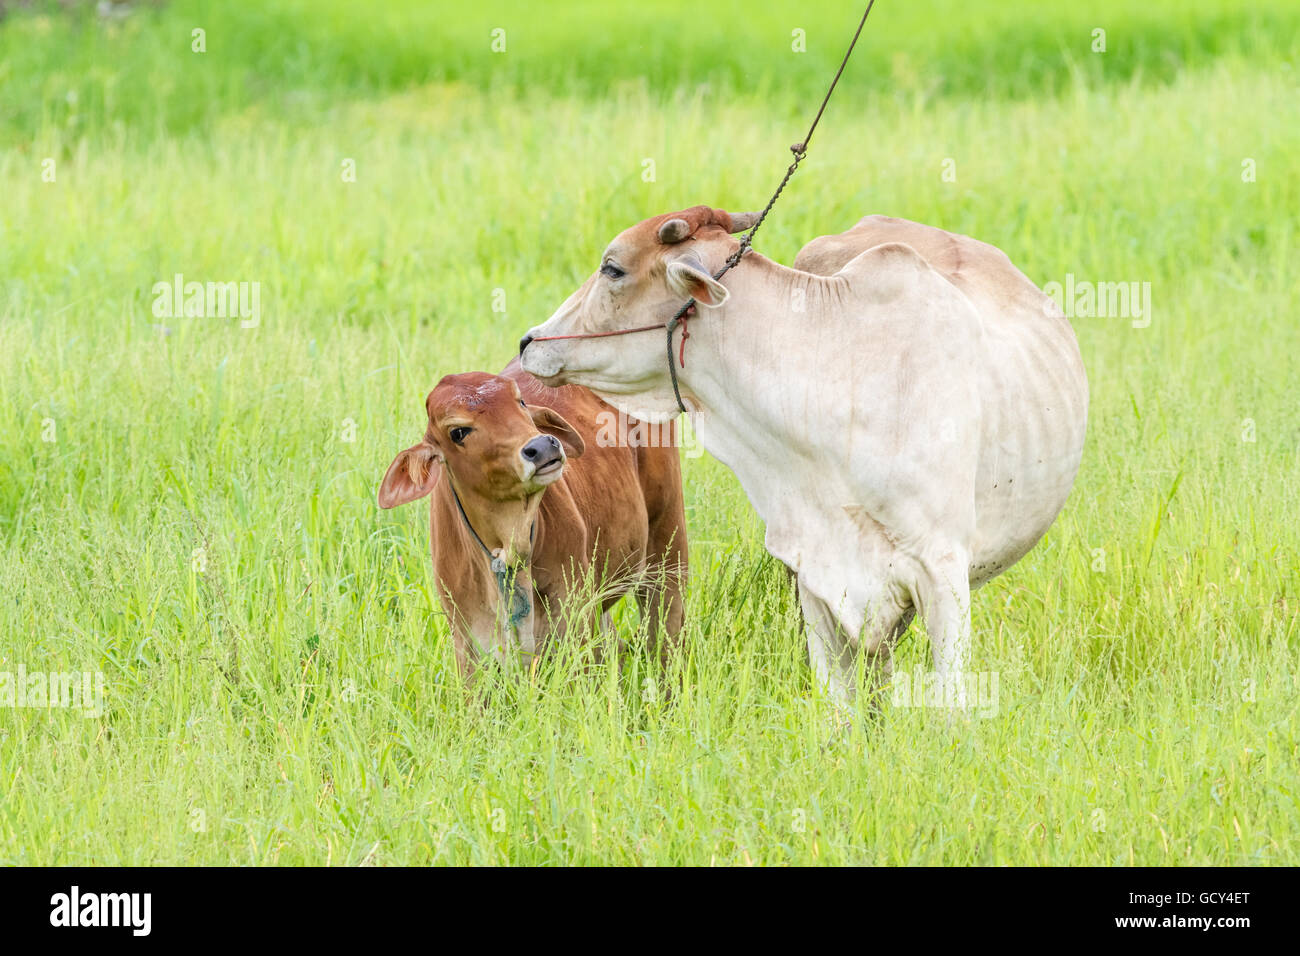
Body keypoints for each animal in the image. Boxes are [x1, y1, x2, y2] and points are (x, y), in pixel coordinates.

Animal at [377, 359, 688, 679]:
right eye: (458, 432)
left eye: (521, 401)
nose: (542, 447)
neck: (508, 547)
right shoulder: (468, 651)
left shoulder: (573, 629)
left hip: (666, 542)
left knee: (666, 632)